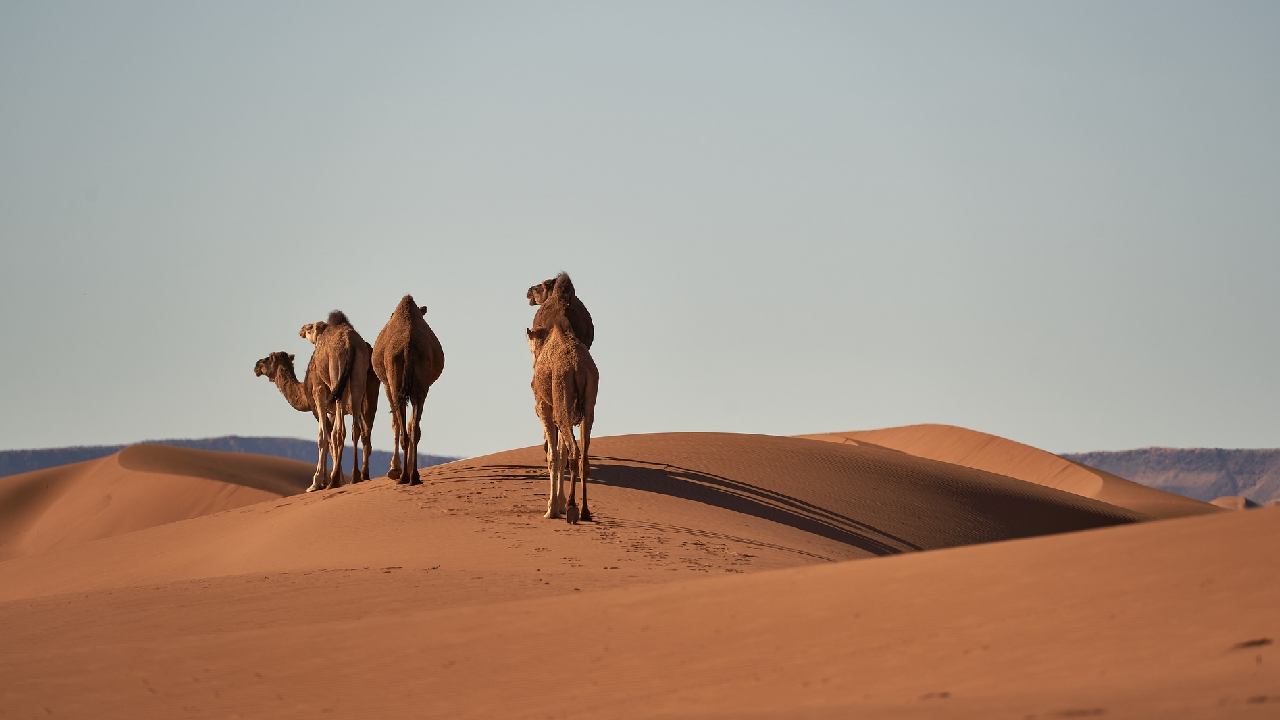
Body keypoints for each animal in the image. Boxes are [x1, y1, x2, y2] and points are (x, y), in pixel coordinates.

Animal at [371, 294, 445, 484]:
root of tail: (407, 346)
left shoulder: (387, 385)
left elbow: (395, 423)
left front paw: (393, 470)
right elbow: (410, 424)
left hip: (396, 382)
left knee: (404, 428)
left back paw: (404, 475)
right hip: (420, 387)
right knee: (414, 430)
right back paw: (413, 476)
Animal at [524, 292, 599, 520]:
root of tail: (578, 368)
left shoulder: (545, 408)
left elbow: (553, 457)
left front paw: (551, 509)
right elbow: (560, 452)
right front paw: (558, 504)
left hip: (561, 400)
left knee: (574, 451)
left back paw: (573, 508)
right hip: (588, 405)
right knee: (583, 455)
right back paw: (585, 511)